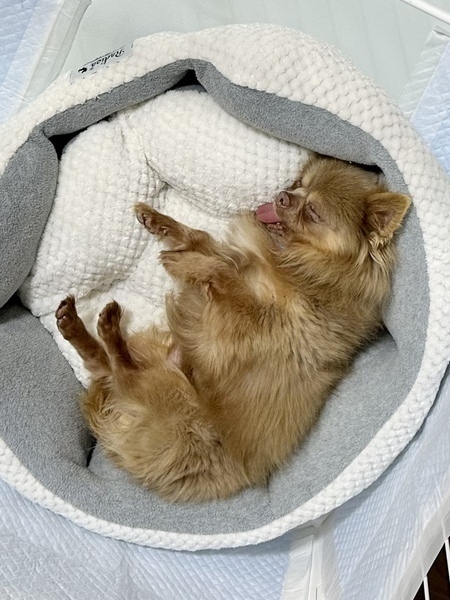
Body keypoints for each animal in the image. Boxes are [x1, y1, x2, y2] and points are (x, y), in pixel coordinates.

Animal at [55, 155, 410, 502]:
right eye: (299, 184)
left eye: (313, 212)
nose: (282, 196)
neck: (295, 259)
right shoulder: (240, 262)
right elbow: (201, 238)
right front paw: (159, 221)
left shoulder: (252, 319)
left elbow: (220, 268)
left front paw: (184, 263)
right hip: (156, 356)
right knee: (101, 366)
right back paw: (74, 324)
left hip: (173, 395)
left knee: (120, 370)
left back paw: (107, 326)